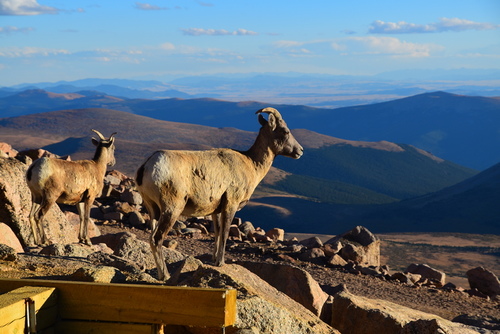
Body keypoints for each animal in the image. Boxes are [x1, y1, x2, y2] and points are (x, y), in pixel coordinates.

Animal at [135, 107, 302, 280]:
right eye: (285, 131)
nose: (300, 151)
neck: (251, 164)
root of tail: (147, 166)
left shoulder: (216, 211)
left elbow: (217, 232)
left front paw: (214, 259)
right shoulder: (231, 205)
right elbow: (225, 232)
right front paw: (220, 262)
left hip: (153, 209)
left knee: (151, 236)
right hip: (172, 209)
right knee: (157, 238)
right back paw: (165, 276)